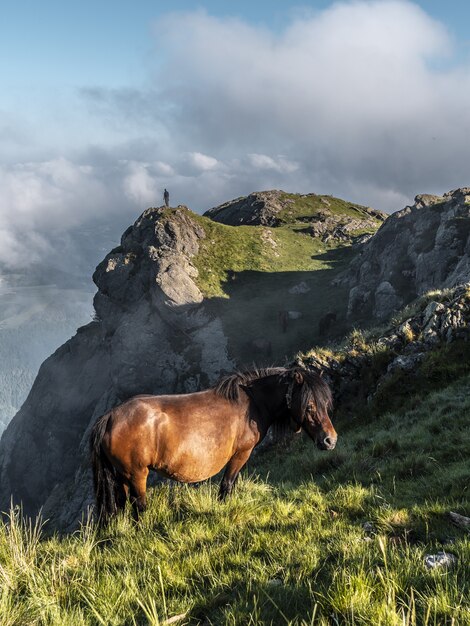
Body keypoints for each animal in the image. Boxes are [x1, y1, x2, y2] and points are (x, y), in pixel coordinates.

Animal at [90, 366, 336, 520]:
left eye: (325, 403)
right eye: (309, 406)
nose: (330, 440)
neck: (252, 403)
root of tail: (110, 417)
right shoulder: (241, 454)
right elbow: (227, 484)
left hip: (123, 476)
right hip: (136, 475)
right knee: (139, 506)